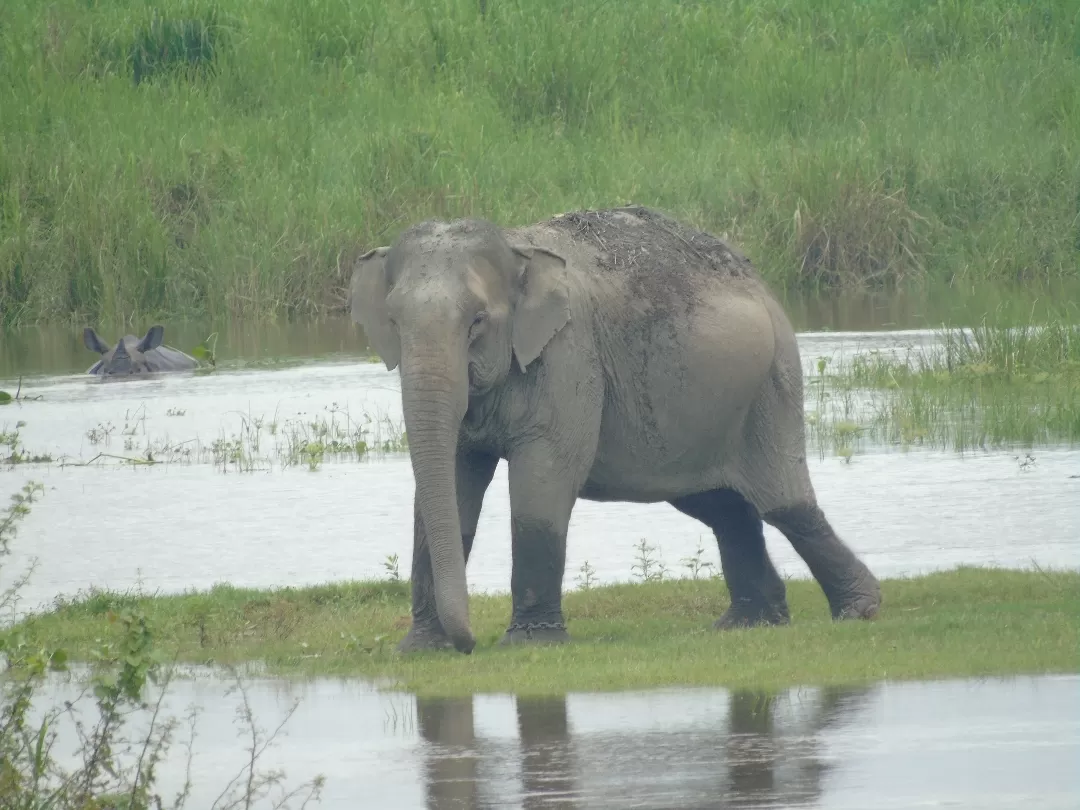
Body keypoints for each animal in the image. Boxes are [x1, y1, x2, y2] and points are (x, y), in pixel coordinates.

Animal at [349, 206, 881, 656]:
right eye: (392, 321)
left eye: (477, 321)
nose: (469, 644)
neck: (516, 248)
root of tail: (759, 280)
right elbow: (450, 488)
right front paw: (420, 650)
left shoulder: (569, 354)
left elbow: (542, 483)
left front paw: (531, 644)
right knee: (722, 508)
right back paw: (750, 623)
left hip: (772, 382)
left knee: (784, 504)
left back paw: (860, 610)